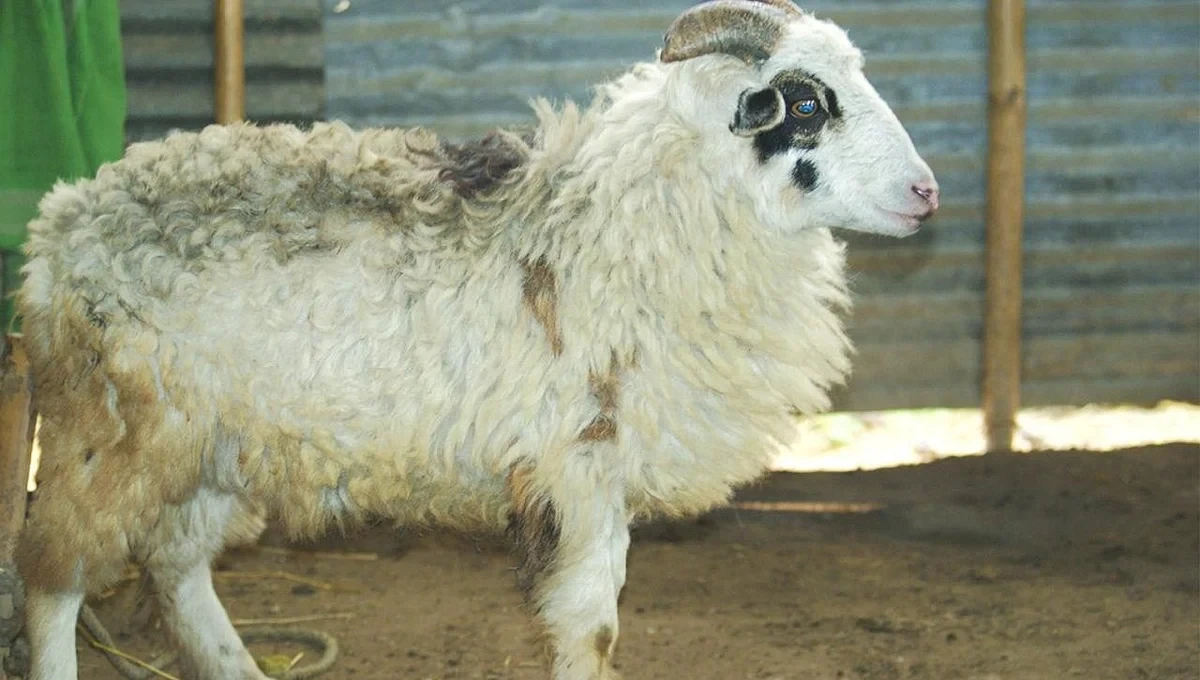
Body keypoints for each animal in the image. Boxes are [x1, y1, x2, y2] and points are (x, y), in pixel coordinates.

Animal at [15, 1, 938, 678]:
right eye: (807, 102)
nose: (925, 192)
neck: (626, 224)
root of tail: (59, 222)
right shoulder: (582, 459)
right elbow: (592, 627)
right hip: (110, 433)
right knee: (52, 574)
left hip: (217, 442)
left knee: (175, 566)